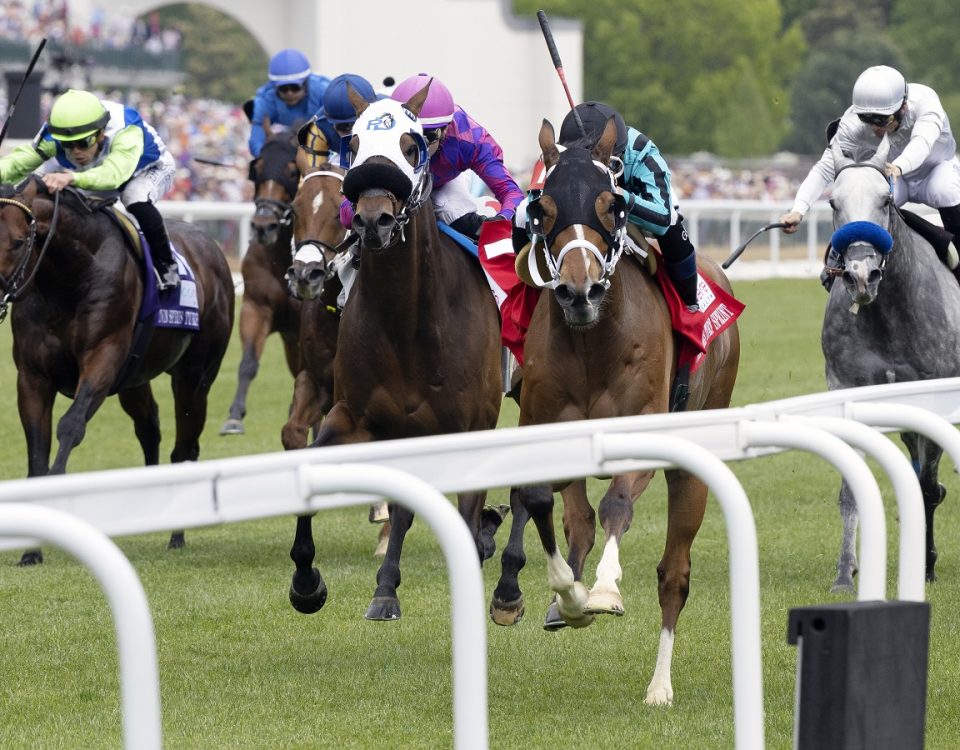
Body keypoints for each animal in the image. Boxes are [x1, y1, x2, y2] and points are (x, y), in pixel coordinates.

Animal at [0, 176, 234, 564]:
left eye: (18, 242)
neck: (70, 278)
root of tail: (213, 248)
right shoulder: (32, 376)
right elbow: (36, 448)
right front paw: (31, 551)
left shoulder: (103, 360)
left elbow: (70, 426)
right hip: (135, 380)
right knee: (149, 426)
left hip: (195, 376)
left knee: (185, 446)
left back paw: (177, 533)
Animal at [220, 128, 300, 434]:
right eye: (259, 167)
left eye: (293, 170)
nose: (264, 226)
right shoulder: (256, 305)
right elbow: (248, 362)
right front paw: (234, 416)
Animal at [284, 85, 506, 620]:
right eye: (355, 145)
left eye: (410, 145)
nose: (373, 219)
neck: (409, 321)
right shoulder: (354, 413)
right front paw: (308, 582)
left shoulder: (470, 424)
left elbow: (465, 509)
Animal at [488, 120, 744, 708]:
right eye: (542, 206)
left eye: (612, 204)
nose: (580, 291)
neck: (593, 342)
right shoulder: (546, 427)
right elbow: (540, 501)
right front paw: (560, 595)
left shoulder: (640, 432)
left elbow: (617, 507)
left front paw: (604, 590)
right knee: (578, 520)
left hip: (694, 462)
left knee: (674, 575)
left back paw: (659, 686)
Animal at [820, 137, 960, 592]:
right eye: (833, 202)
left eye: (885, 200)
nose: (862, 276)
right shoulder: (849, 391)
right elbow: (851, 489)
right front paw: (845, 572)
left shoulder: (935, 398)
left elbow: (928, 487)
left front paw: (927, 565)